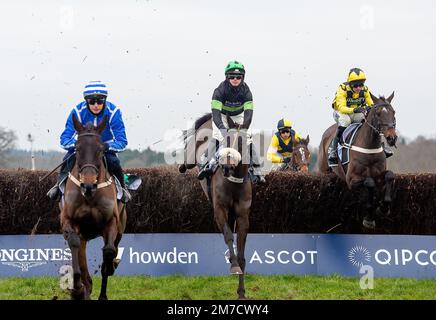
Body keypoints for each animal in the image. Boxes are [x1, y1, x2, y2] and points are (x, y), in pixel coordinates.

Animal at [59, 115, 126, 300]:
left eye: (101, 149)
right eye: (77, 148)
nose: (88, 185)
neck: (89, 196)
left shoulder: (111, 222)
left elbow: (109, 251)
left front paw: (109, 271)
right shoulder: (69, 221)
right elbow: (74, 245)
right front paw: (77, 289)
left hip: (120, 228)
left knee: (113, 248)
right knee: (81, 258)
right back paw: (84, 288)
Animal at [178, 113, 252, 300]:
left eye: (241, 143)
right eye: (226, 140)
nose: (226, 166)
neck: (232, 181)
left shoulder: (242, 215)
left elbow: (241, 251)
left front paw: (241, 292)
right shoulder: (219, 209)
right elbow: (228, 236)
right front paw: (233, 265)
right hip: (191, 158)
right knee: (186, 161)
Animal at [316, 91, 396, 229]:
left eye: (394, 112)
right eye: (378, 113)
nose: (392, 138)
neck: (369, 147)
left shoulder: (379, 174)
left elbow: (389, 176)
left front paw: (383, 208)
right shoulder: (351, 179)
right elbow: (369, 182)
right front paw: (369, 218)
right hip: (324, 171)